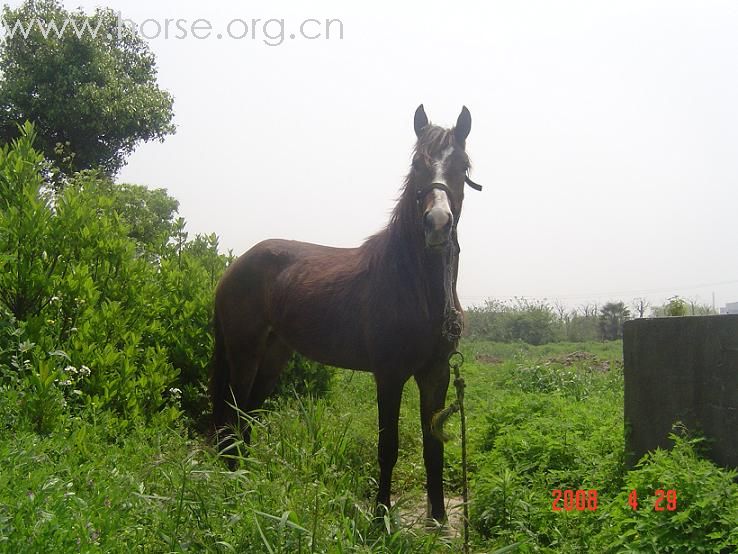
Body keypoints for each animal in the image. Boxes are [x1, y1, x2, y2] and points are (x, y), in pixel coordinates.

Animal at [210, 104, 480, 520]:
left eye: (462, 165)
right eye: (417, 163)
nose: (437, 224)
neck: (415, 287)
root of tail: (234, 267)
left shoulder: (436, 373)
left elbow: (432, 446)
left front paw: (438, 518)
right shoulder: (389, 374)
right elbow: (388, 448)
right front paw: (381, 515)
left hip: (274, 355)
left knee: (249, 414)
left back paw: (248, 474)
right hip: (244, 351)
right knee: (234, 413)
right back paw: (233, 479)